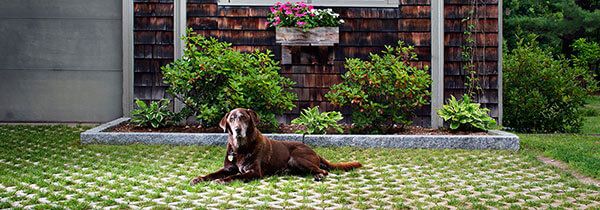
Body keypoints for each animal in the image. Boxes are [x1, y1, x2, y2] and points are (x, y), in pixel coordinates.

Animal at [191, 107, 360, 185]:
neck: (241, 148)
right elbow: (213, 173)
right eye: (231, 119)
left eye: (243, 117)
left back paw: (319, 175)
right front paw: (199, 178)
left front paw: (222, 181)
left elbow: (236, 176)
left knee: (323, 170)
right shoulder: (227, 168)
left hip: (296, 158)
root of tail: (315, 152)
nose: (238, 129)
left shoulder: (254, 172)